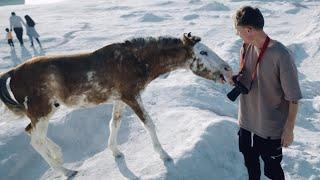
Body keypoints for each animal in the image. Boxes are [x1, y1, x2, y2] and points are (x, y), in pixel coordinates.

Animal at [0, 32, 231, 177]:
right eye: (203, 52)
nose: (227, 68)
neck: (133, 60)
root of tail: (14, 72)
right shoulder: (131, 97)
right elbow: (149, 124)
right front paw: (164, 155)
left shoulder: (120, 100)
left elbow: (114, 123)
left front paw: (115, 151)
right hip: (41, 111)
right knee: (36, 140)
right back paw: (66, 171)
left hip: (45, 111)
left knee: (31, 132)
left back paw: (58, 154)